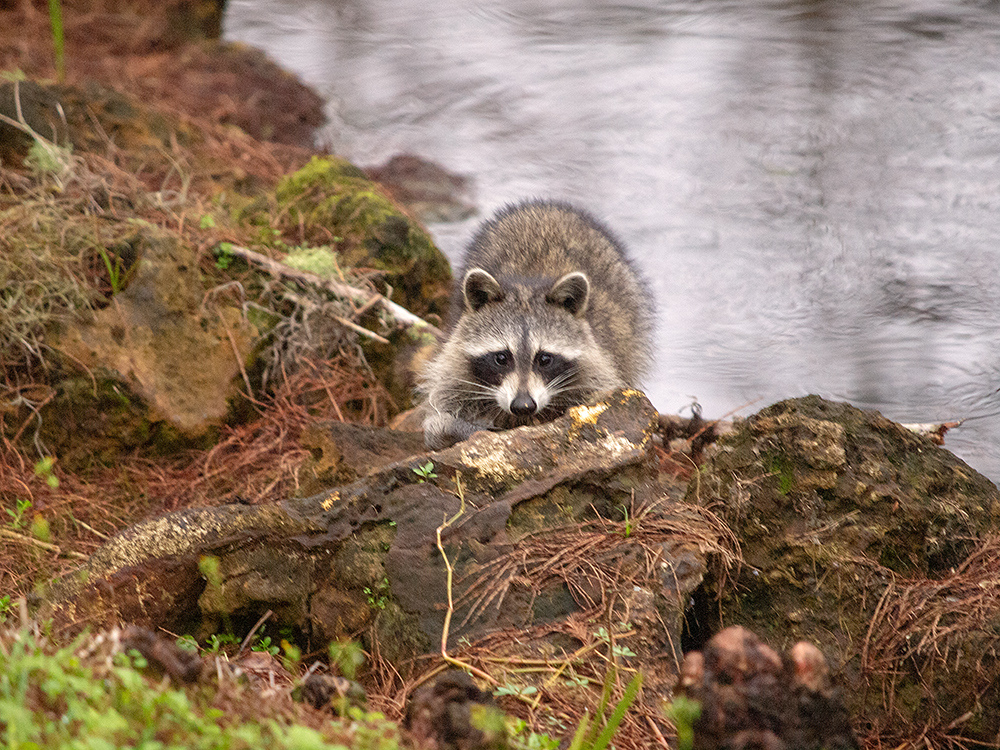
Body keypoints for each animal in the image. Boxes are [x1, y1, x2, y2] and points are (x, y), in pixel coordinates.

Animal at [418, 198, 652, 452]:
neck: (527, 286)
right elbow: (442, 410)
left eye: (545, 359)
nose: (523, 406)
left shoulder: (598, 368)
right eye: (501, 358)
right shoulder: (456, 365)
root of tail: (548, 205)